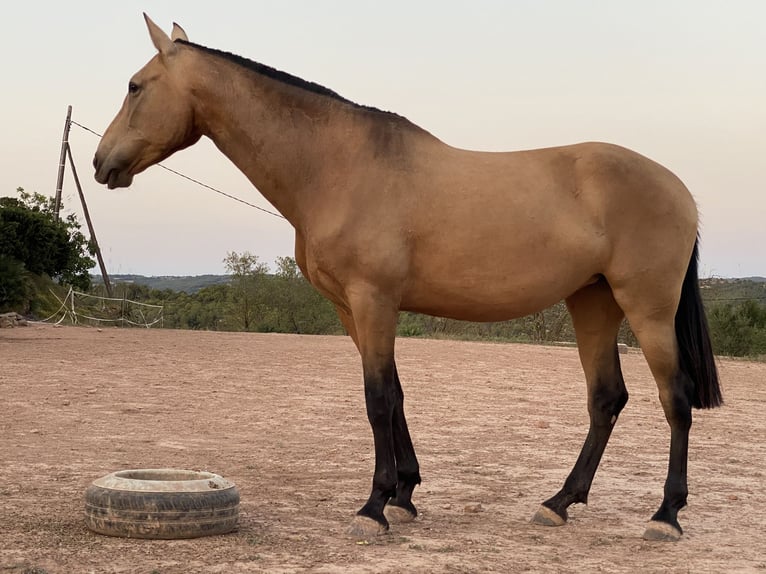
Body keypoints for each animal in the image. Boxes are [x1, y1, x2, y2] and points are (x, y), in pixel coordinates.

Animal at [93, 14, 724, 544]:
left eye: (135, 86)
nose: (102, 164)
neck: (337, 165)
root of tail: (680, 189)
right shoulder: (353, 308)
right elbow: (394, 394)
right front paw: (404, 496)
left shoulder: (373, 300)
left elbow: (375, 398)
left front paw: (373, 508)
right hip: (592, 302)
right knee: (606, 399)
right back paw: (559, 503)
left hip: (646, 307)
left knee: (675, 397)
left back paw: (665, 515)